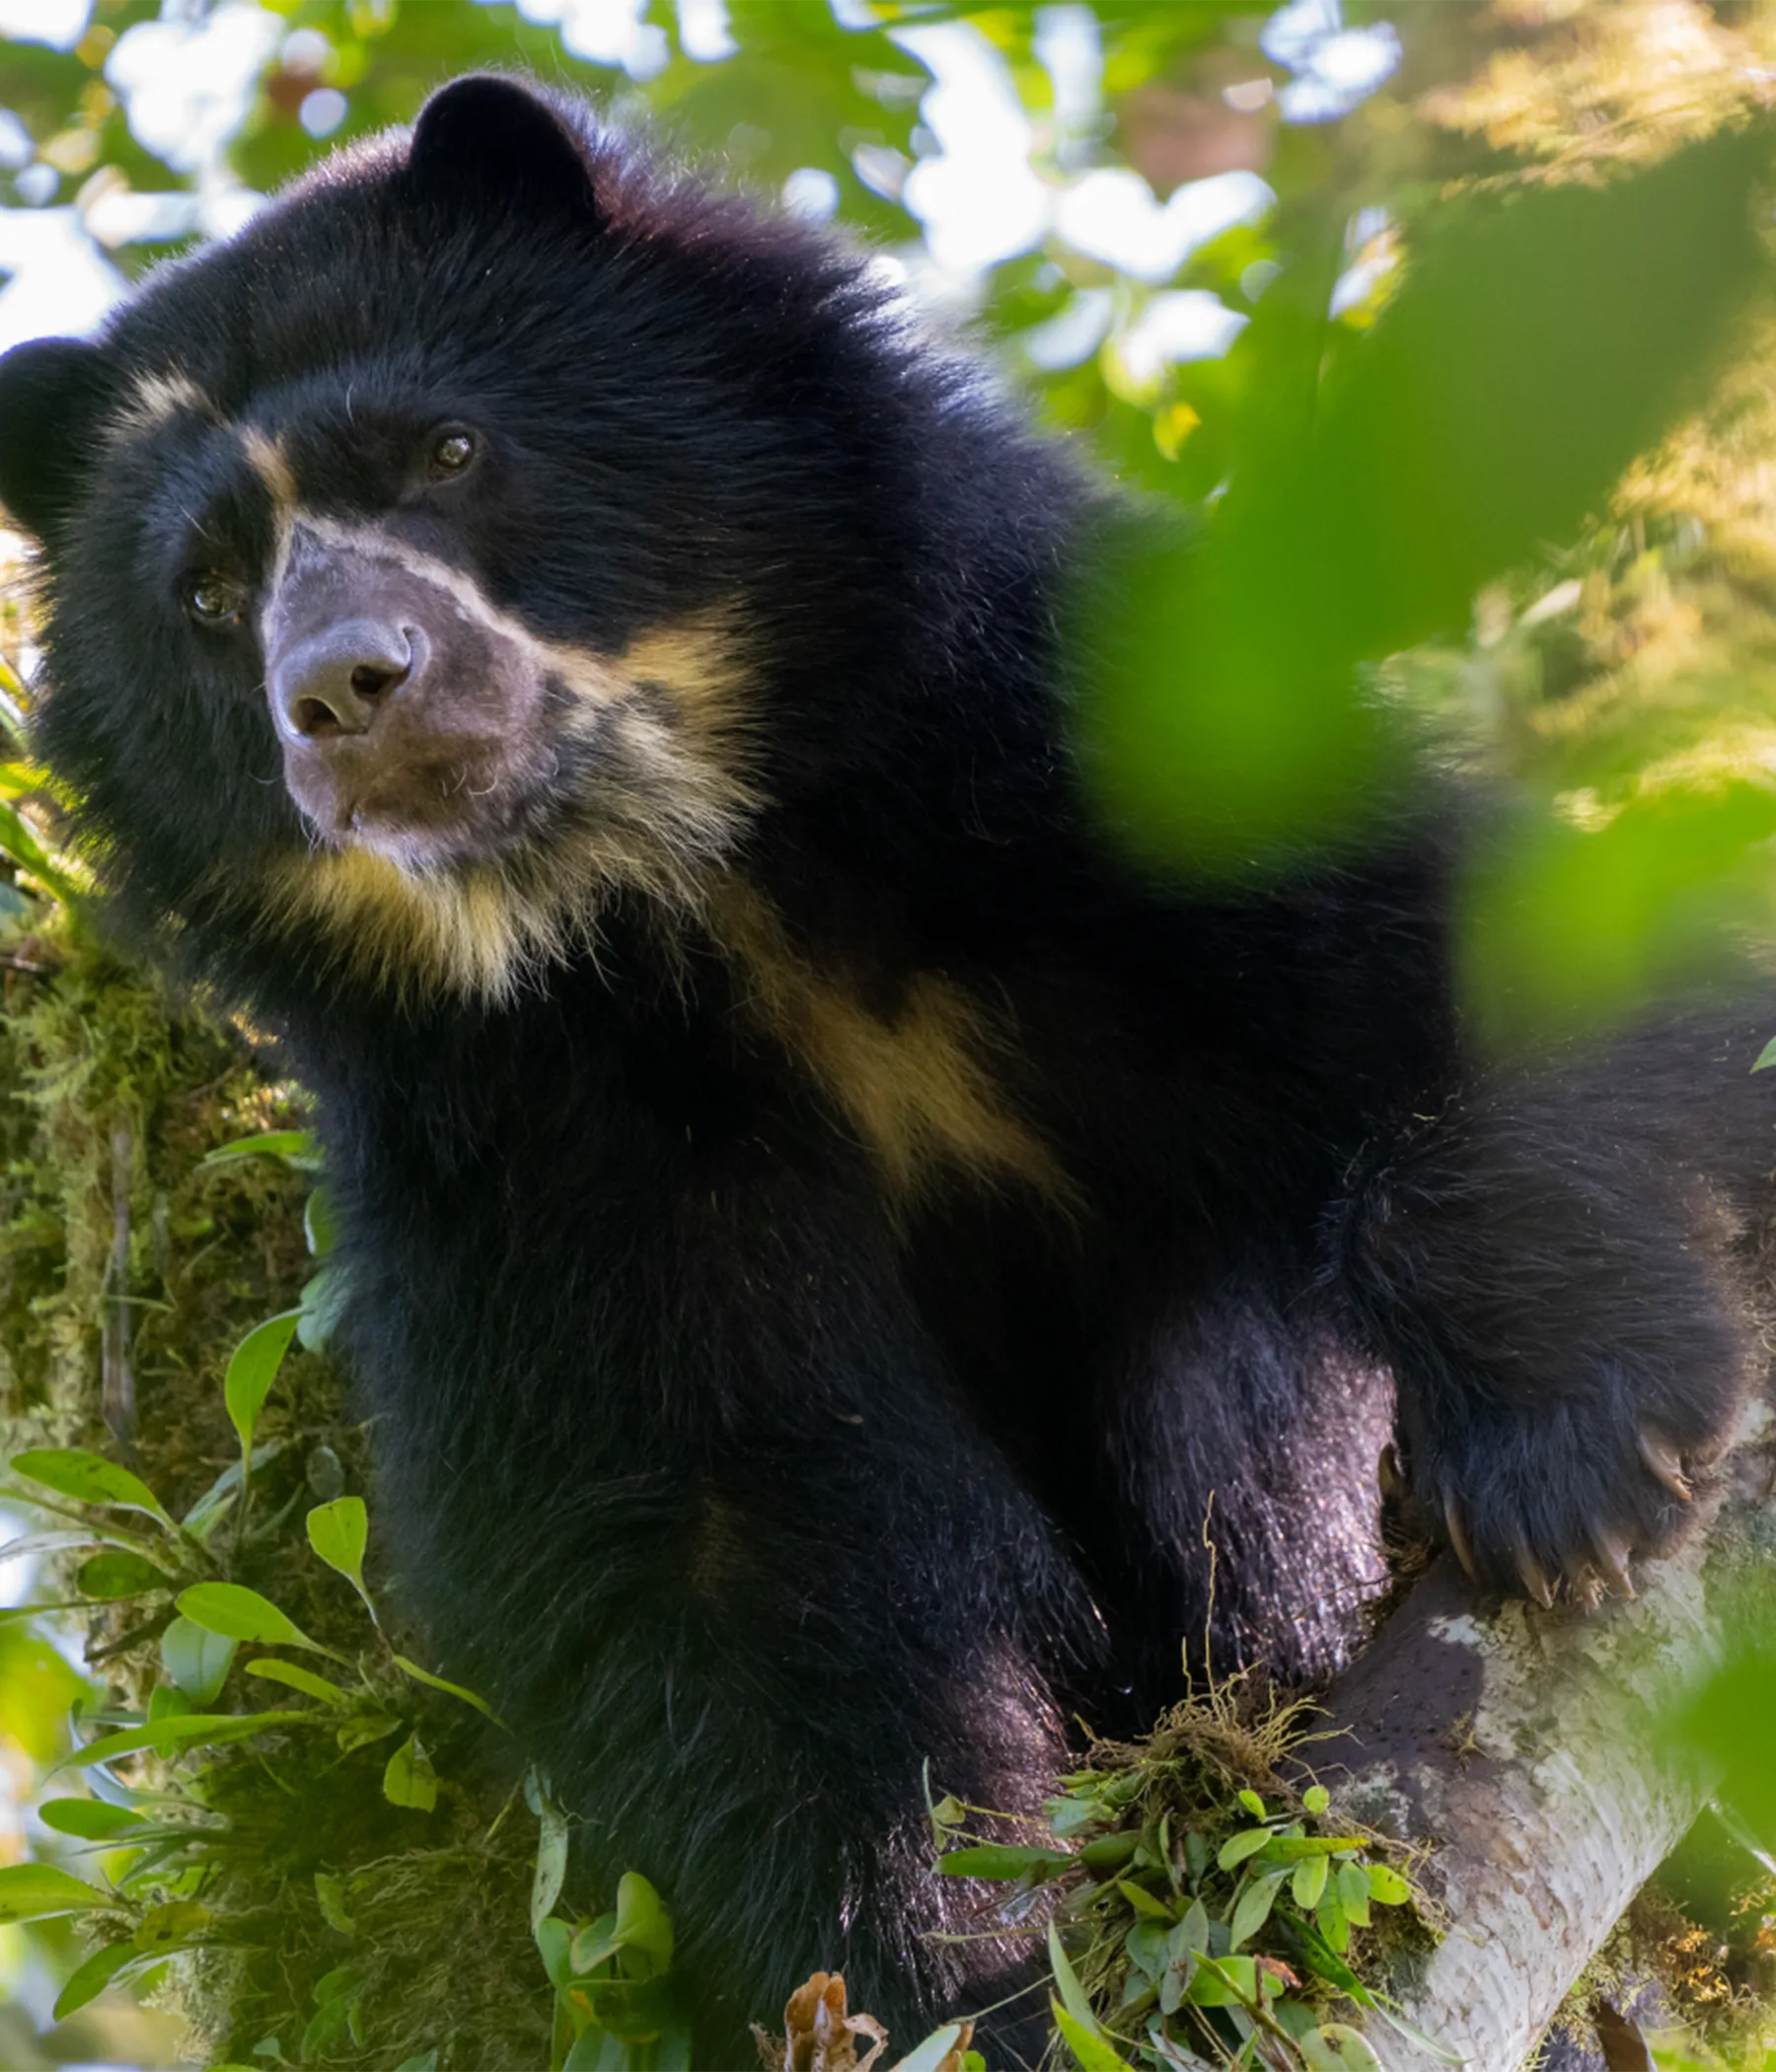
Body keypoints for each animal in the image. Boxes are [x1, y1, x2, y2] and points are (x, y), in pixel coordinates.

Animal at [0, 73, 1766, 2065]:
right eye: (207, 595)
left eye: (445, 452)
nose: (346, 691)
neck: (701, 882)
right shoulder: (527, 1123)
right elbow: (732, 1548)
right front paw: (963, 1983)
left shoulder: (1075, 740)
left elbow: (1482, 961)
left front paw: (1575, 1457)